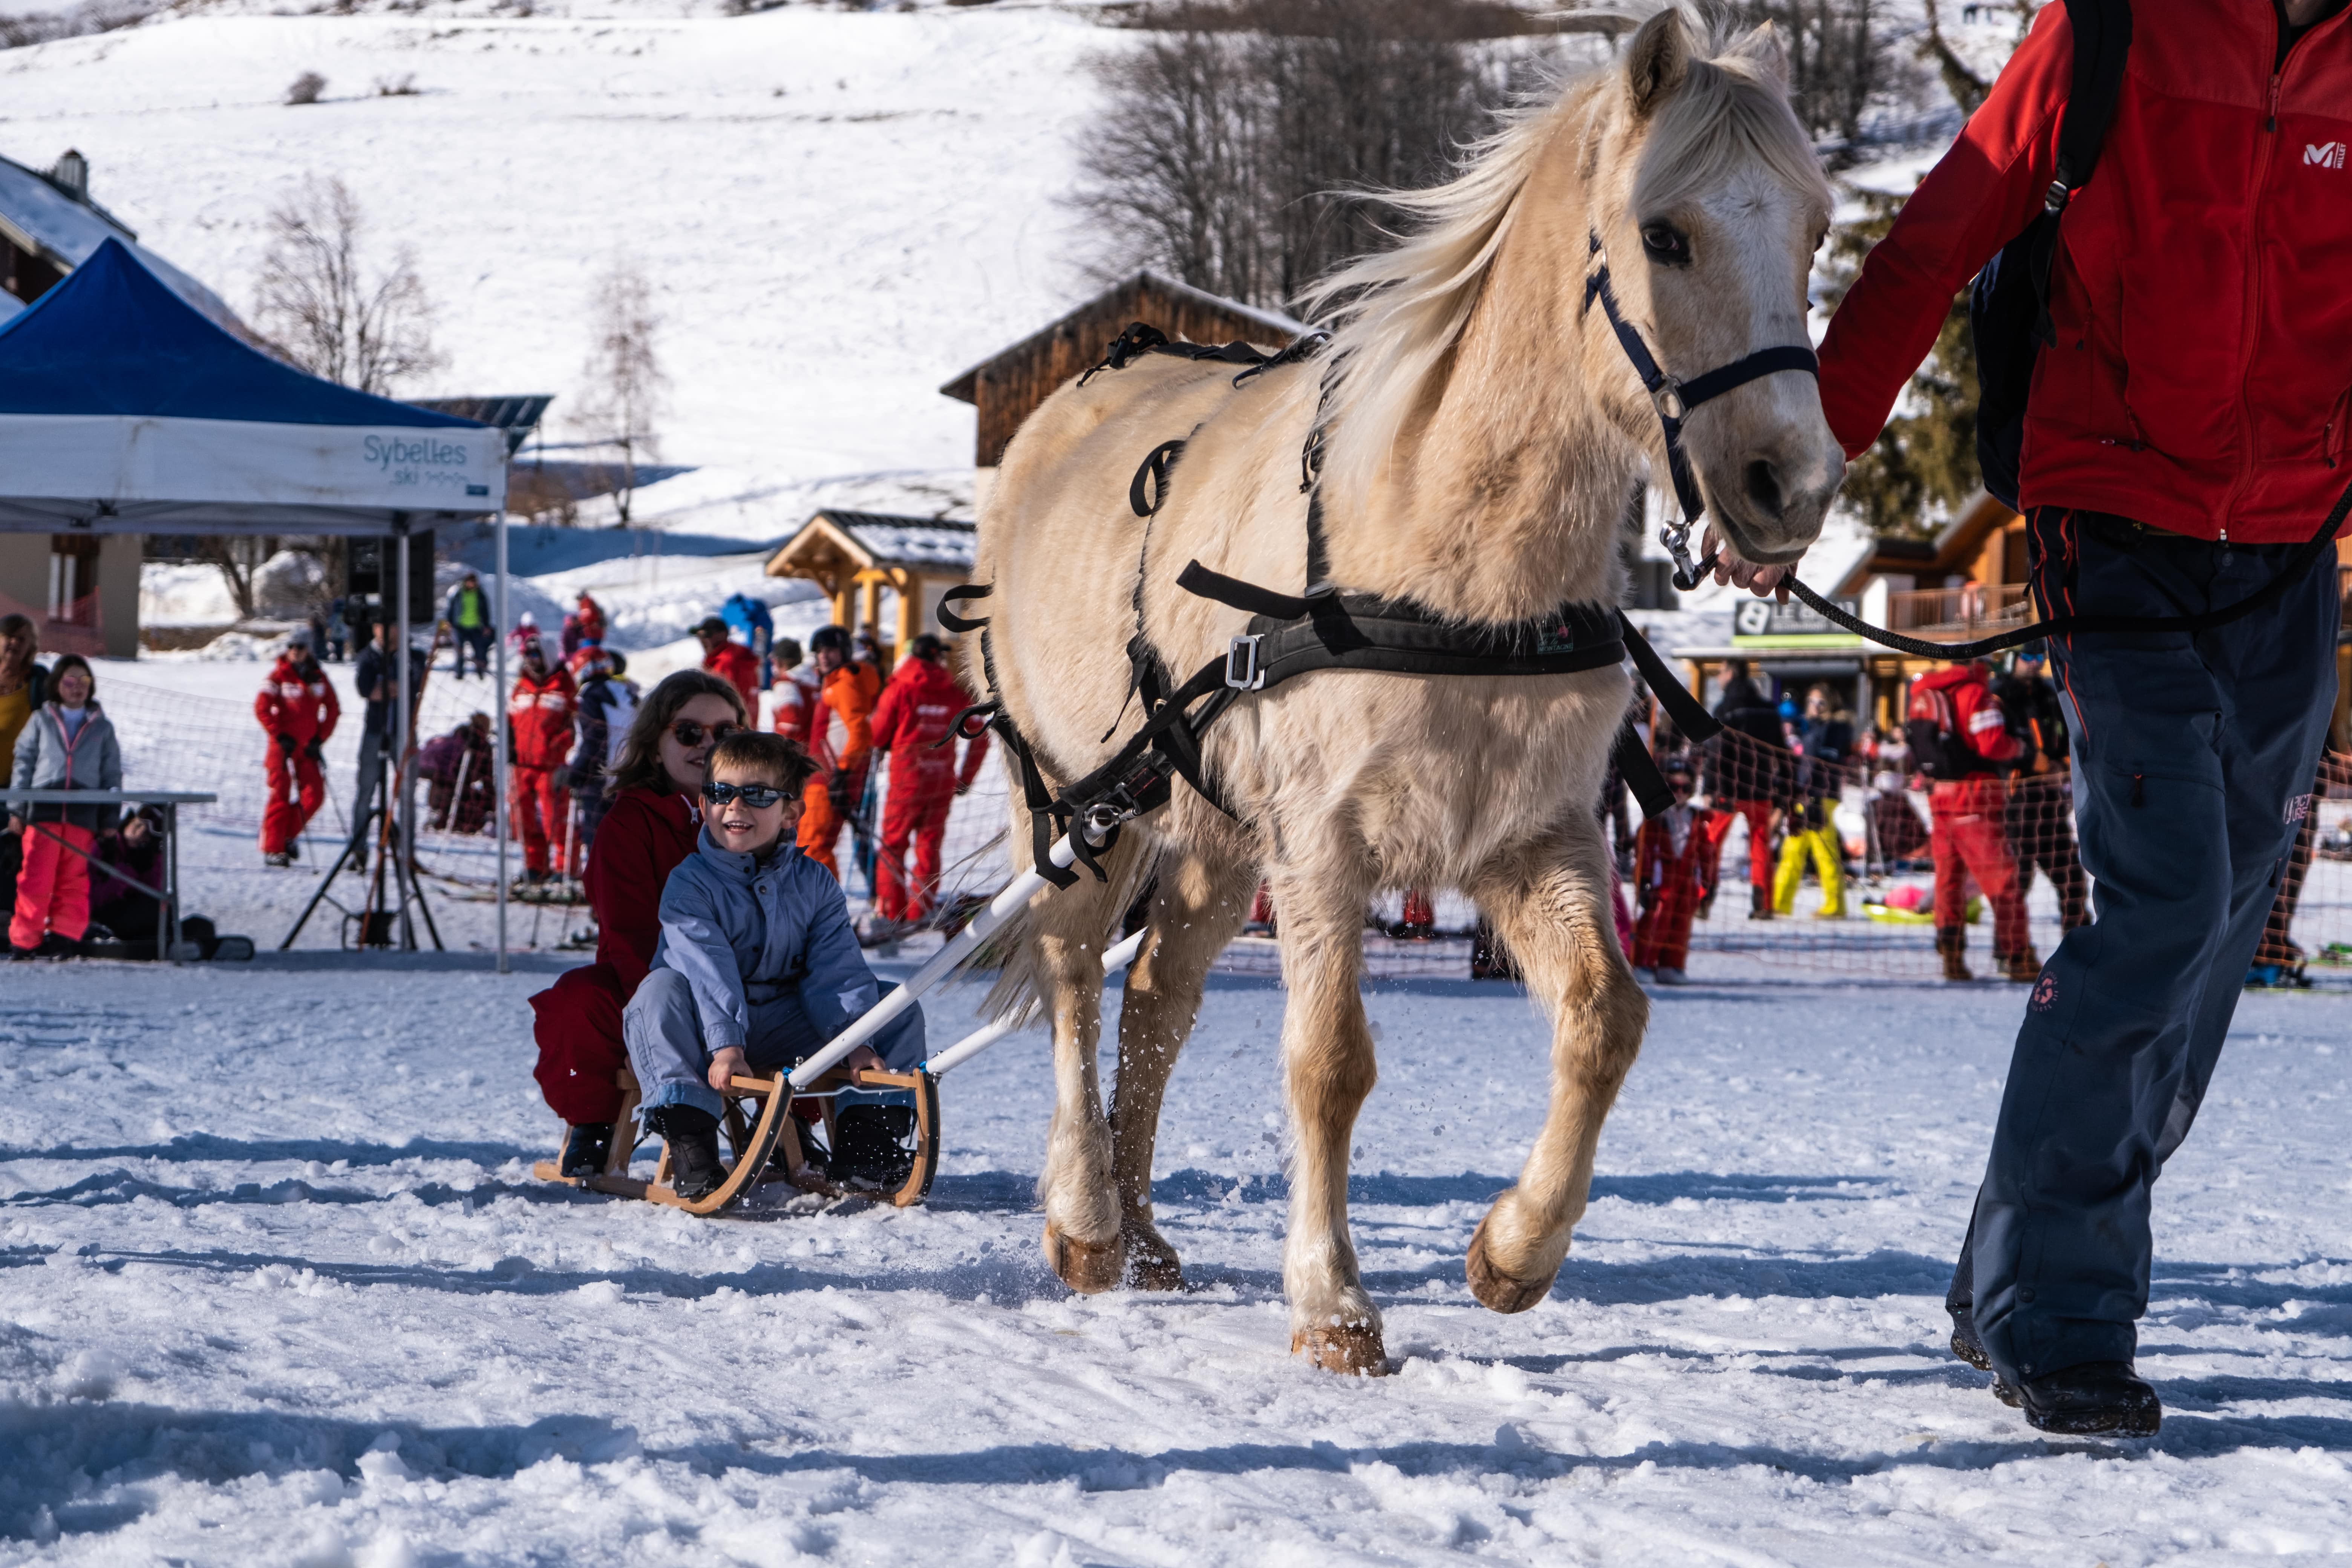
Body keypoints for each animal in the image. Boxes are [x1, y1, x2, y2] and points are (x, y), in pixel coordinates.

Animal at [965, 7, 1842, 1374]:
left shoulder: (1533, 837)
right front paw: (1333, 1305)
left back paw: (1146, 1228)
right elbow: (1328, 1062)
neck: (1452, 553)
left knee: (1157, 1000)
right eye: (1665, 234)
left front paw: (1514, 1252)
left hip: (1217, 837)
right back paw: (1089, 1219)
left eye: (1815, 232)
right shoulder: (1324, 847)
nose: (1790, 486)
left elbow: (1606, 1018)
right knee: (1070, 977)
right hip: (1071, 799)